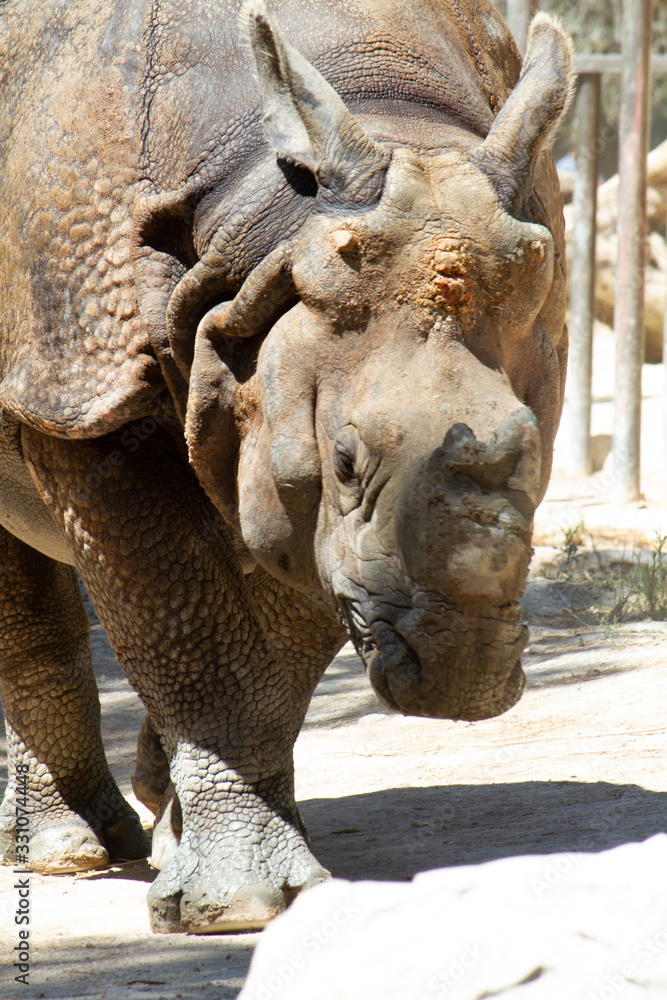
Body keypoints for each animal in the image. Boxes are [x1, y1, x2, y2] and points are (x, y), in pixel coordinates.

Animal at [0, 0, 573, 933]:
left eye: (529, 446)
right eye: (345, 462)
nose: (464, 680)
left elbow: (277, 621)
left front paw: (213, 854)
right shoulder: (90, 388)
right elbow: (189, 630)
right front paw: (239, 907)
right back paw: (70, 855)